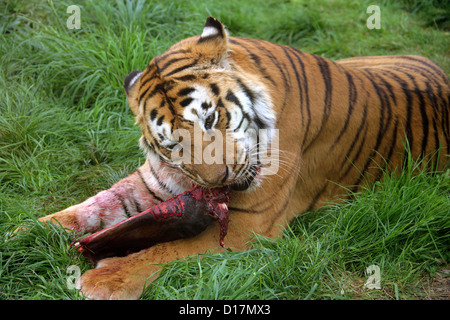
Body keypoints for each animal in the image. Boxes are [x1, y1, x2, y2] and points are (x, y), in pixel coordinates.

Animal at [38, 16, 450, 298]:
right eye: (172, 146)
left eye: (210, 119)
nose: (217, 180)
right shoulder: (155, 181)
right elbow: (90, 208)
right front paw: (29, 232)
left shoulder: (248, 225)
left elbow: (171, 248)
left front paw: (105, 277)